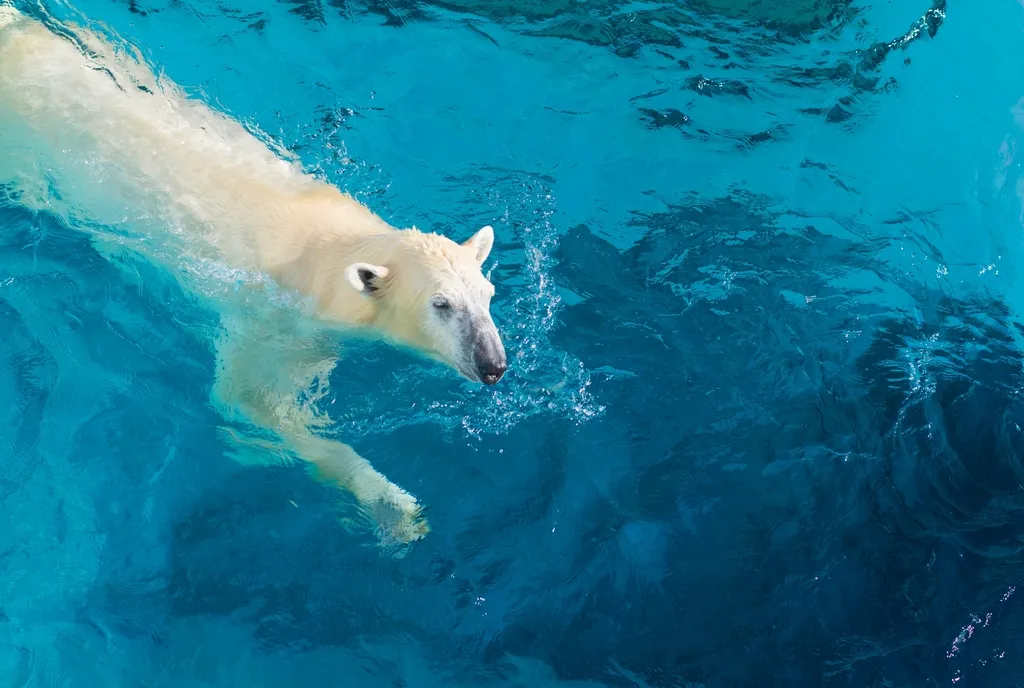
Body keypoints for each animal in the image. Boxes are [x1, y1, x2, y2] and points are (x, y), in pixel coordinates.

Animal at [0, 4, 507, 544]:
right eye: (441, 304)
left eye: (487, 293)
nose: (494, 365)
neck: (325, 262)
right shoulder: (277, 327)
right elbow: (249, 400)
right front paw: (392, 506)